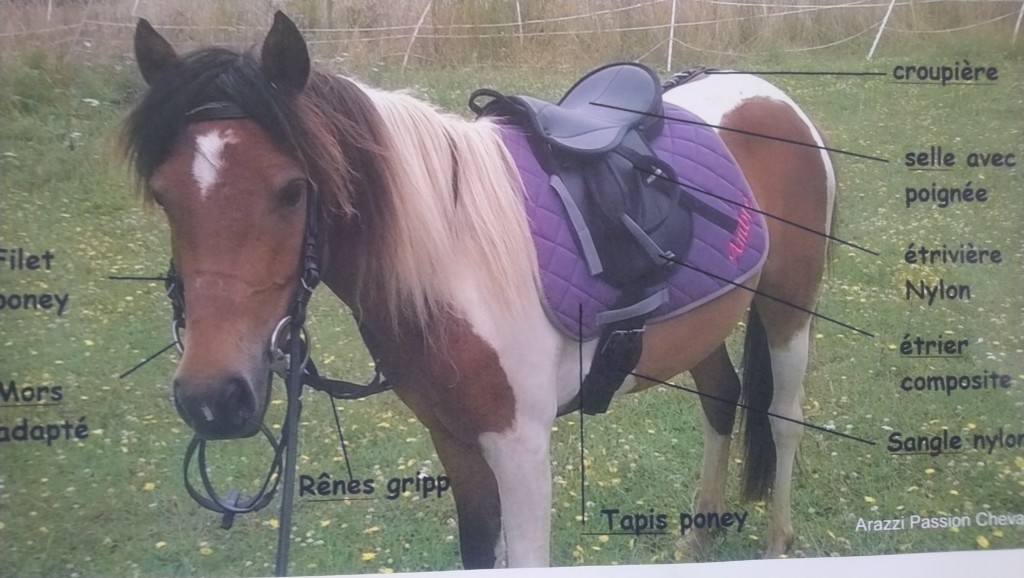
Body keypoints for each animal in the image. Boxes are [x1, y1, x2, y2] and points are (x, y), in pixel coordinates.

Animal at [122, 12, 834, 569]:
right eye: (163, 194)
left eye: (292, 191)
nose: (213, 399)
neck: (451, 259)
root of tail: (768, 96)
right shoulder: (456, 443)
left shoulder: (521, 450)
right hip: (705, 324)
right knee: (721, 401)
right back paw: (699, 537)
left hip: (789, 310)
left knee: (783, 418)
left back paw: (777, 544)